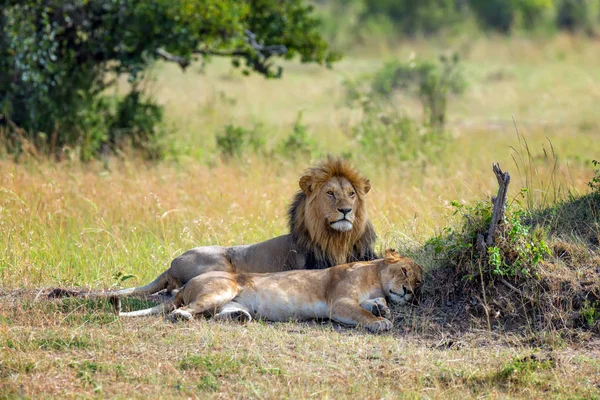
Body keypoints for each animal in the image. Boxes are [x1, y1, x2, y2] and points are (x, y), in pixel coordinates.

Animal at [54, 156, 378, 300]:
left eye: (351, 194)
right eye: (330, 194)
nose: (346, 211)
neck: (336, 239)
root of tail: (170, 263)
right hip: (218, 261)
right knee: (175, 289)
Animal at [119, 250, 424, 332]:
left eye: (420, 283)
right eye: (405, 272)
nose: (410, 292)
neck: (375, 277)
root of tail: (184, 286)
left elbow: (377, 302)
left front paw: (382, 307)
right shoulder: (339, 303)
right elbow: (363, 314)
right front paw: (381, 320)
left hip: (231, 302)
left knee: (217, 314)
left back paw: (239, 318)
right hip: (222, 288)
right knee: (180, 310)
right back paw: (182, 316)